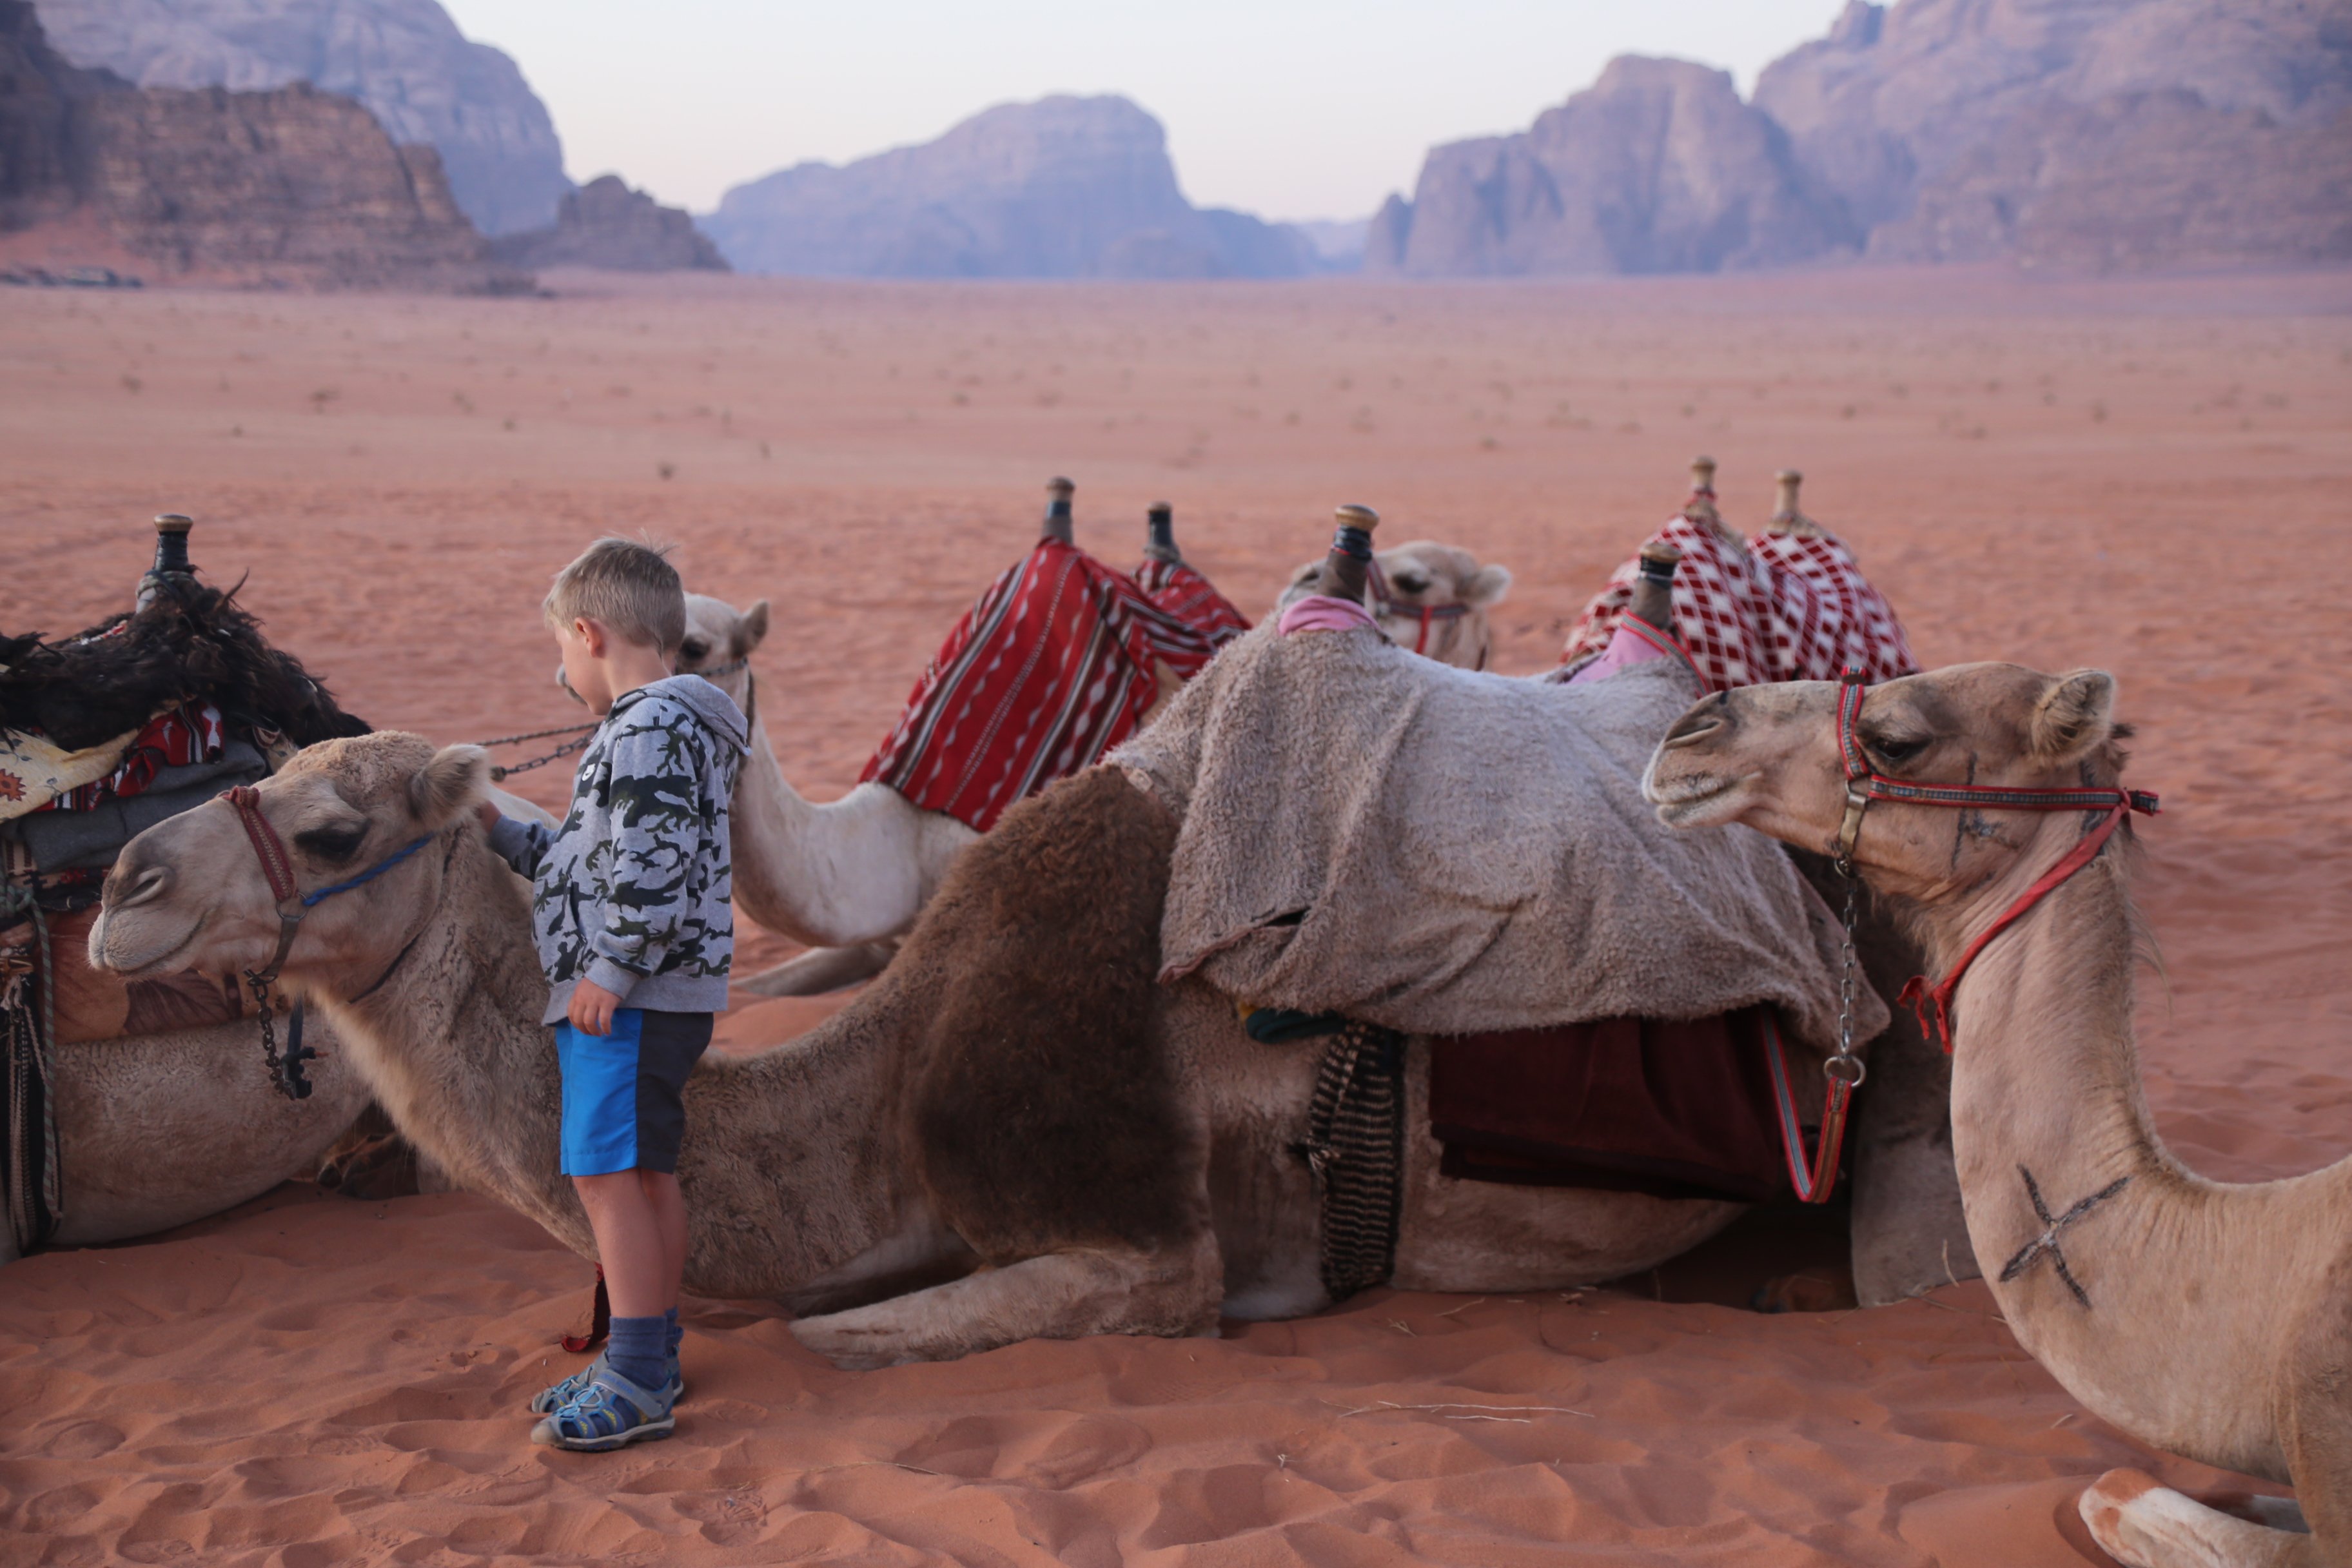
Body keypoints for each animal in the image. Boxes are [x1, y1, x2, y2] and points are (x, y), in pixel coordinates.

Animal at [92, 729, 1787, 1363]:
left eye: (332, 824)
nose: (122, 889)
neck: (893, 1082)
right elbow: (822, 1299)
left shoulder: (1145, 1248)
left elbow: (825, 1337)